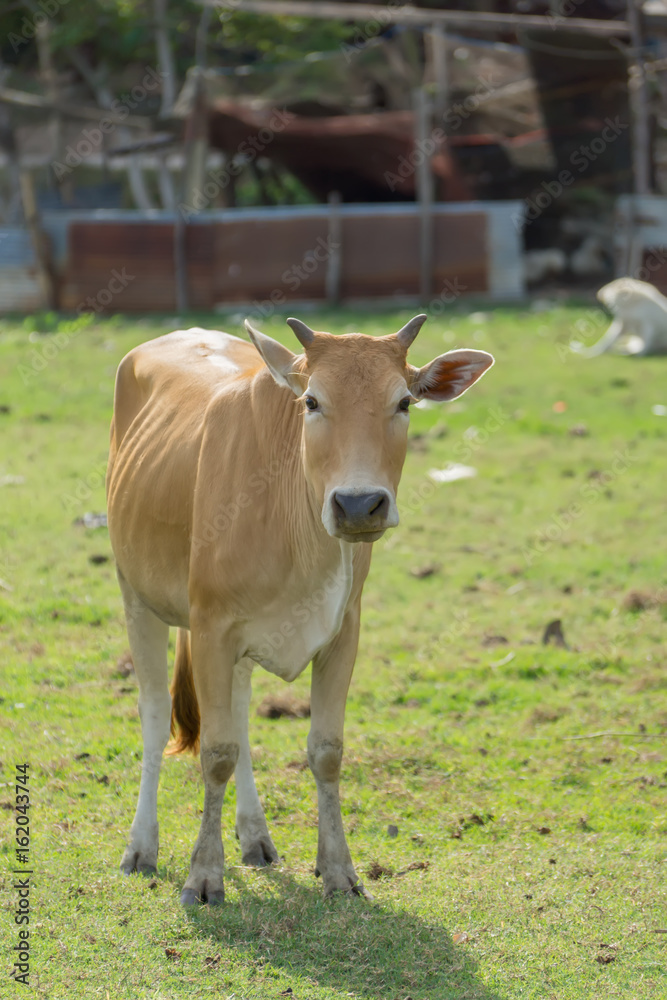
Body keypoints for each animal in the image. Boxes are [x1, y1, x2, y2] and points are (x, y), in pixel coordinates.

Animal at [106, 315, 494, 905]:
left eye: (405, 402)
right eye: (311, 401)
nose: (358, 505)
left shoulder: (343, 630)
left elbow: (324, 751)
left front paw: (338, 870)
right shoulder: (212, 627)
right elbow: (215, 752)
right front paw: (203, 876)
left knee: (239, 711)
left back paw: (254, 837)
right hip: (137, 597)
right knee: (154, 715)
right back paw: (141, 847)